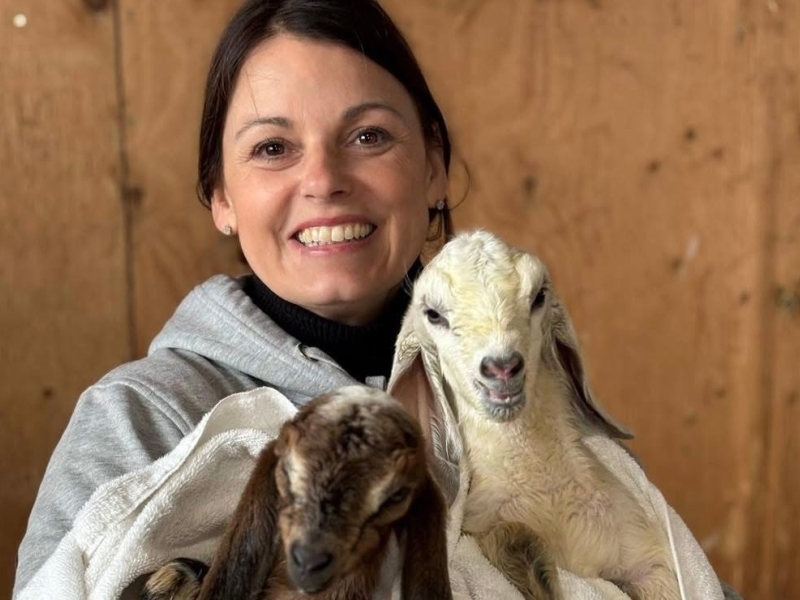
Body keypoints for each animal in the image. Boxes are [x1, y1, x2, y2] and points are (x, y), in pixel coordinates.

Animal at [391, 230, 681, 600]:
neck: (547, 496)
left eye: (538, 296)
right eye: (433, 314)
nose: (502, 367)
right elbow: (514, 539)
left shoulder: (647, 559)